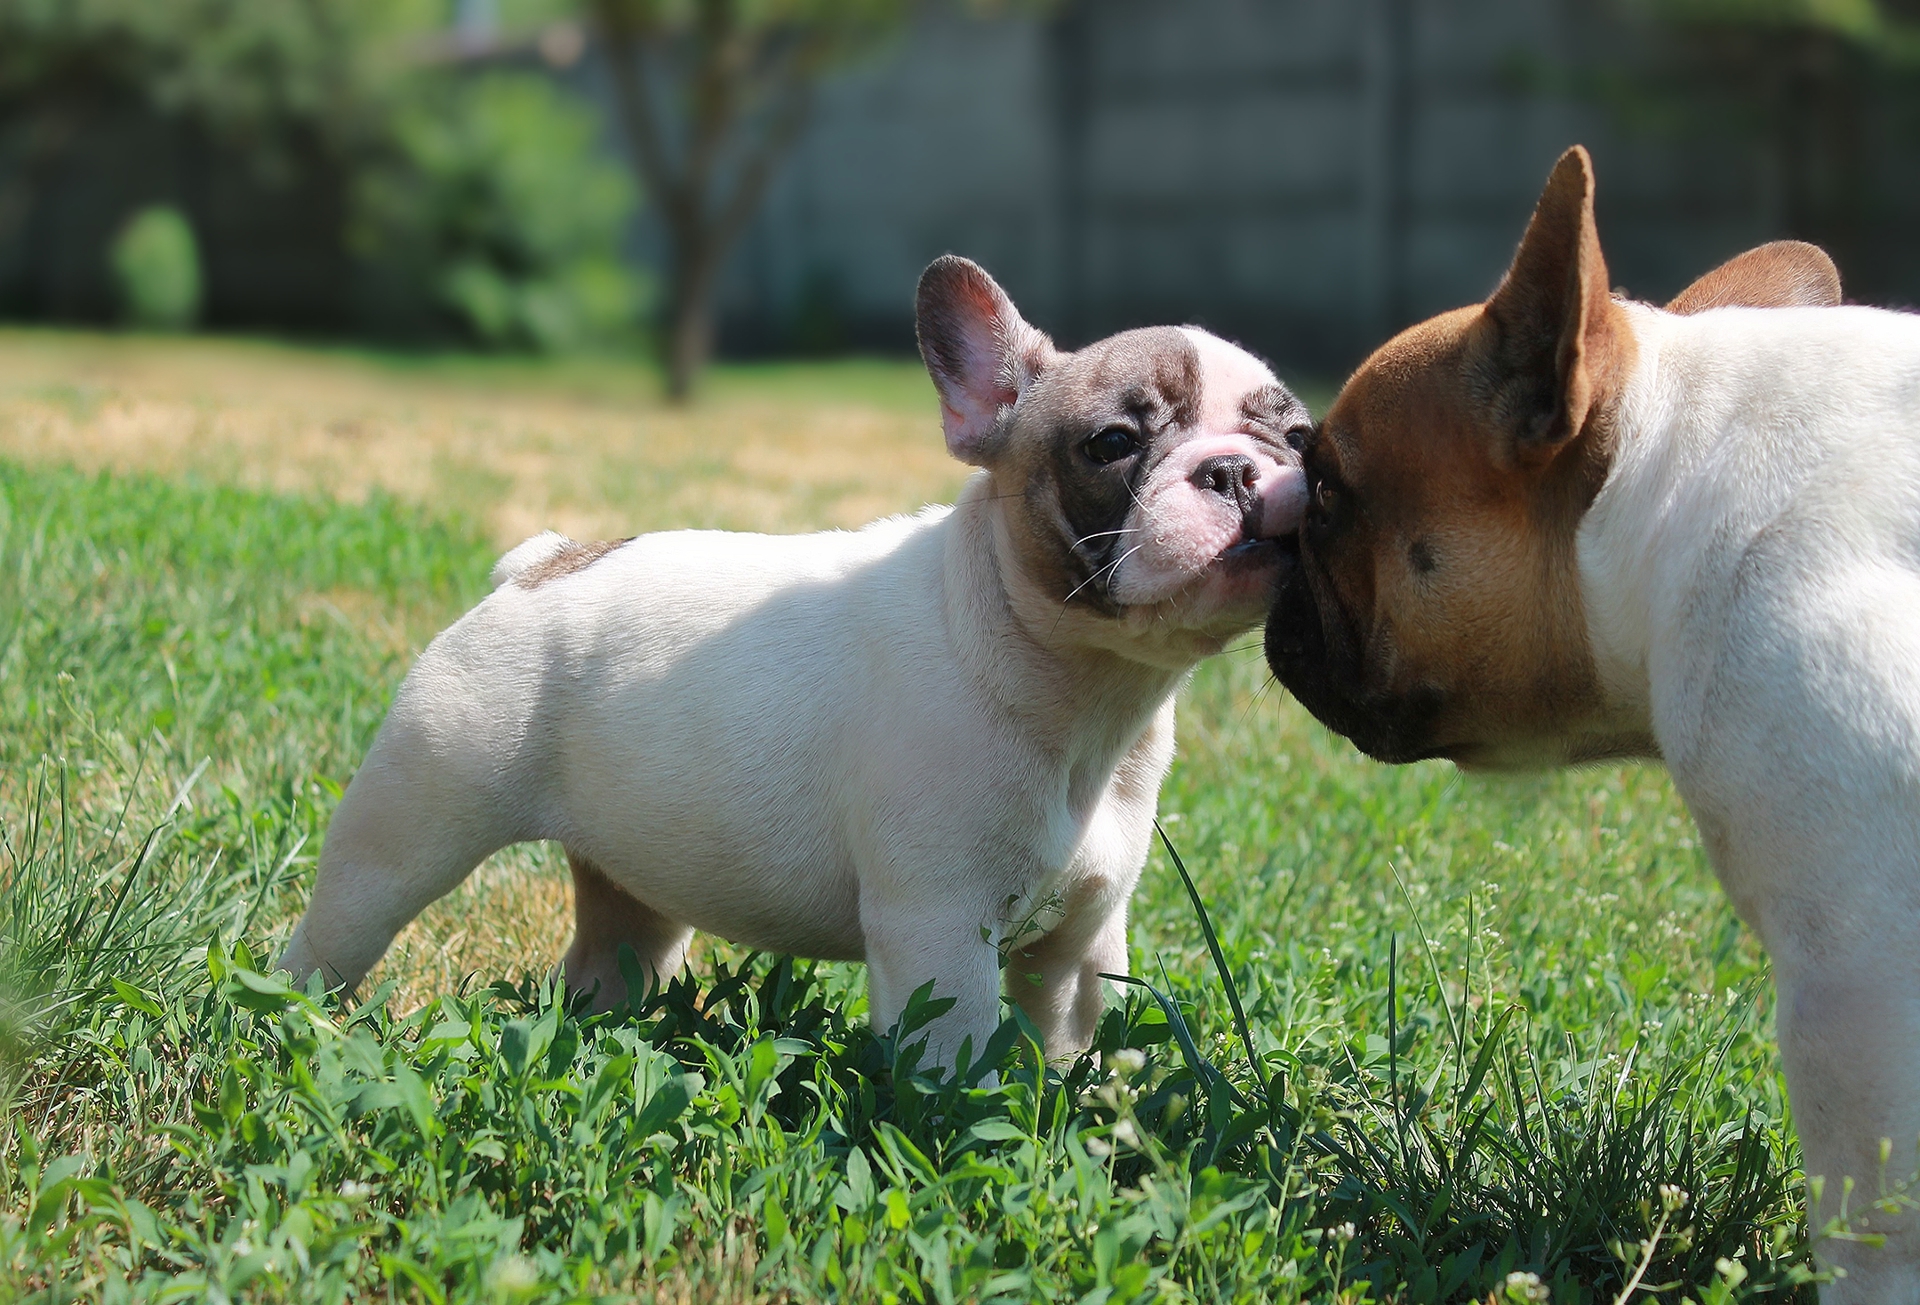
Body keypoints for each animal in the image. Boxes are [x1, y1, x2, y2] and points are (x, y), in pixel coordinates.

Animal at [278, 257, 1313, 1067]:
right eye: (1114, 443)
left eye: (1301, 438)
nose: (1234, 469)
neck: (1083, 685)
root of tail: (540, 562)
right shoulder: (938, 926)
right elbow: (959, 1070)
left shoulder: (1079, 943)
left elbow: (1070, 1048)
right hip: (411, 823)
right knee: (337, 931)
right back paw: (290, 1020)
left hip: (631, 883)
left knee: (609, 960)